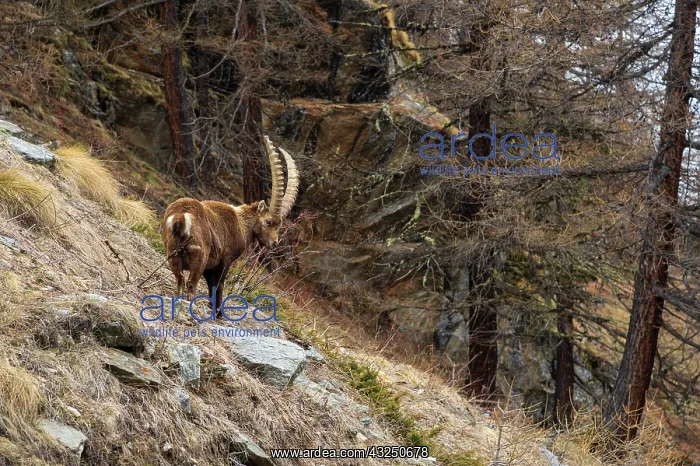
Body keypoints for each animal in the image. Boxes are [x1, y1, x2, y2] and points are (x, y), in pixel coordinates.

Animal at [161, 136, 300, 315]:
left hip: (173, 254)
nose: (274, 243)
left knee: (180, 281)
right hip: (199, 257)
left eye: (280, 225)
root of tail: (181, 216)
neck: (241, 222)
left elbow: (212, 286)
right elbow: (219, 285)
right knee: (191, 285)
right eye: (268, 221)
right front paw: (219, 313)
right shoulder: (225, 260)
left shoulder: (211, 267)